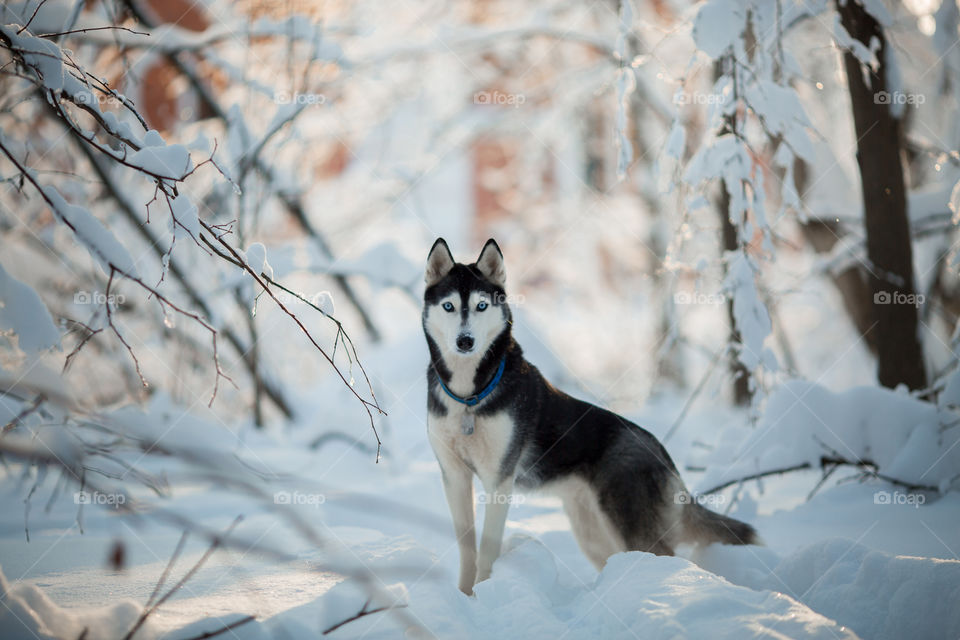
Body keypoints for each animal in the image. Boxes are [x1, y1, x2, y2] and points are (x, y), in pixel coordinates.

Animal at [422, 239, 756, 596]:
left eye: (481, 306)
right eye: (449, 306)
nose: (465, 341)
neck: (469, 397)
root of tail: (662, 452)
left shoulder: (499, 480)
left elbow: (487, 549)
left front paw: (484, 595)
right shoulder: (455, 477)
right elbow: (467, 548)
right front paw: (463, 596)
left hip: (628, 523)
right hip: (592, 531)